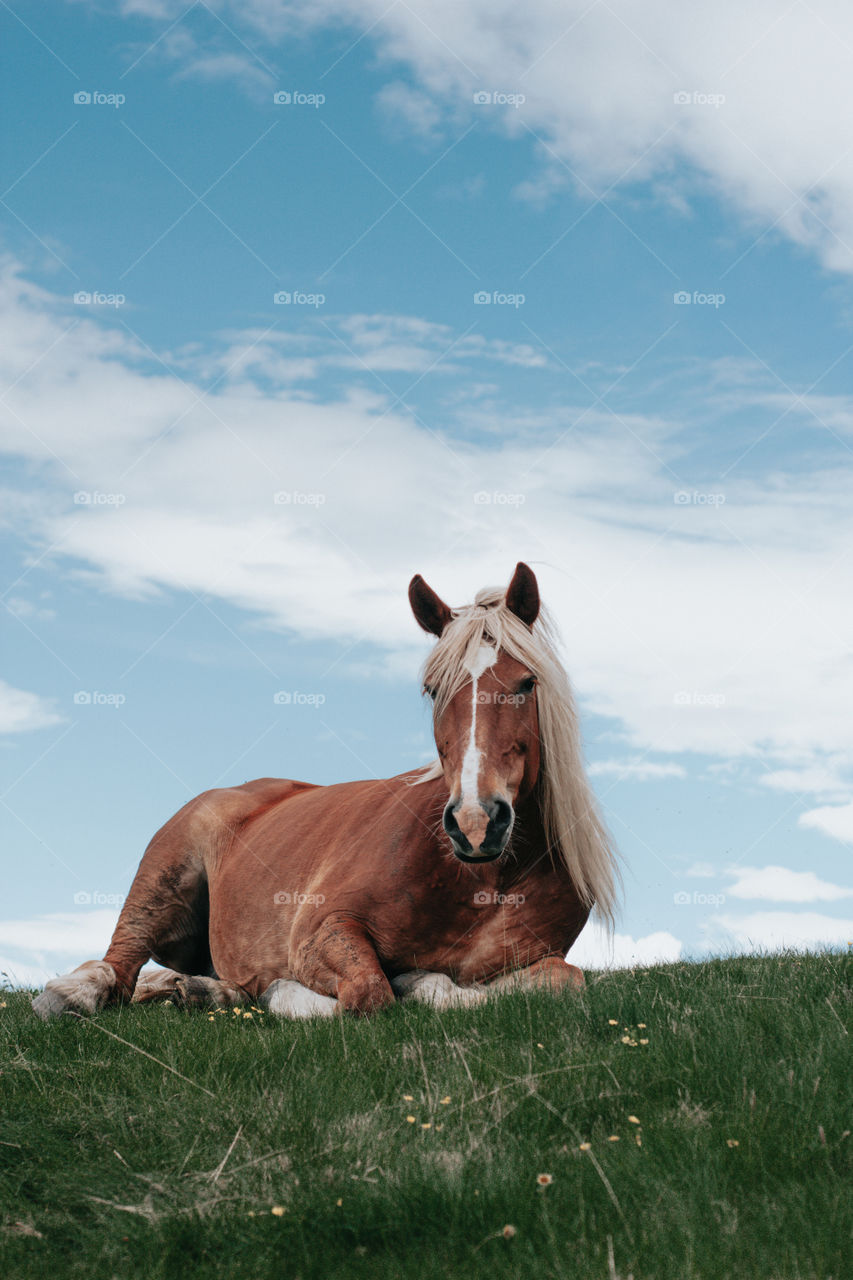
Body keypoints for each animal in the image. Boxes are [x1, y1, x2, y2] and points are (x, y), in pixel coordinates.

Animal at [33, 562, 619, 1020]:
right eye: (433, 690)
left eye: (526, 683)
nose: (475, 824)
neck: (478, 881)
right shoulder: (322, 931)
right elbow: (368, 992)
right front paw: (290, 992)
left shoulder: (536, 963)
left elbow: (562, 981)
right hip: (162, 875)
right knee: (120, 962)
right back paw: (72, 995)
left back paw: (205, 992)